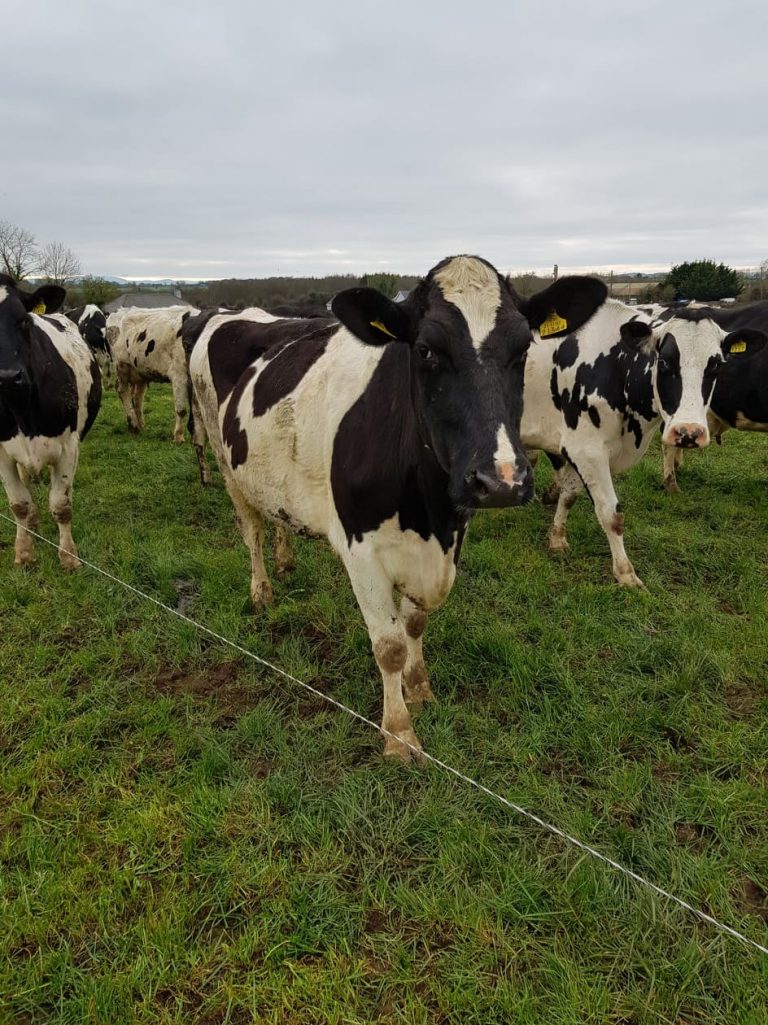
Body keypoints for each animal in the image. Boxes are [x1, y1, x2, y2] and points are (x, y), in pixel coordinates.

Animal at [0, 276, 100, 574]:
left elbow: (61, 505)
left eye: (23, 320)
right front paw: (23, 553)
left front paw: (68, 556)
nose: (7, 376)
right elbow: (19, 504)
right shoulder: (1, 452)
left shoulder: (69, 447)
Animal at [106, 303, 198, 440]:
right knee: (122, 391)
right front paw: (178, 436)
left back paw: (140, 424)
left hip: (140, 371)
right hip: (121, 366)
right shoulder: (179, 374)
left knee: (137, 397)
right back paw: (133, 424)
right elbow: (181, 409)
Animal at [188, 256, 529, 762]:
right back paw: (262, 591)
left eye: (525, 348)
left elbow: (415, 623)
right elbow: (388, 644)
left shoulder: (448, 540)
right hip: (223, 454)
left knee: (276, 517)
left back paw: (286, 559)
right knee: (250, 530)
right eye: (425, 350)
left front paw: (420, 688)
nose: (501, 480)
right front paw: (399, 734)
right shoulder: (361, 550)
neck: (428, 518)